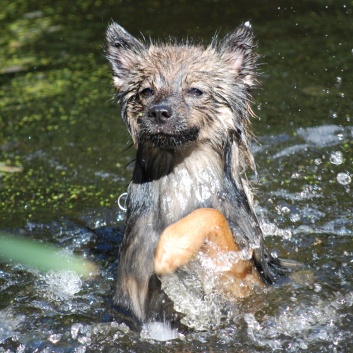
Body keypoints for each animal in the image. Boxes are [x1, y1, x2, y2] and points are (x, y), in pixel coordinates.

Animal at [106, 23, 288, 328]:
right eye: (147, 91)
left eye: (195, 90)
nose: (158, 112)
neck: (180, 178)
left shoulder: (241, 278)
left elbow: (209, 215)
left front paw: (169, 251)